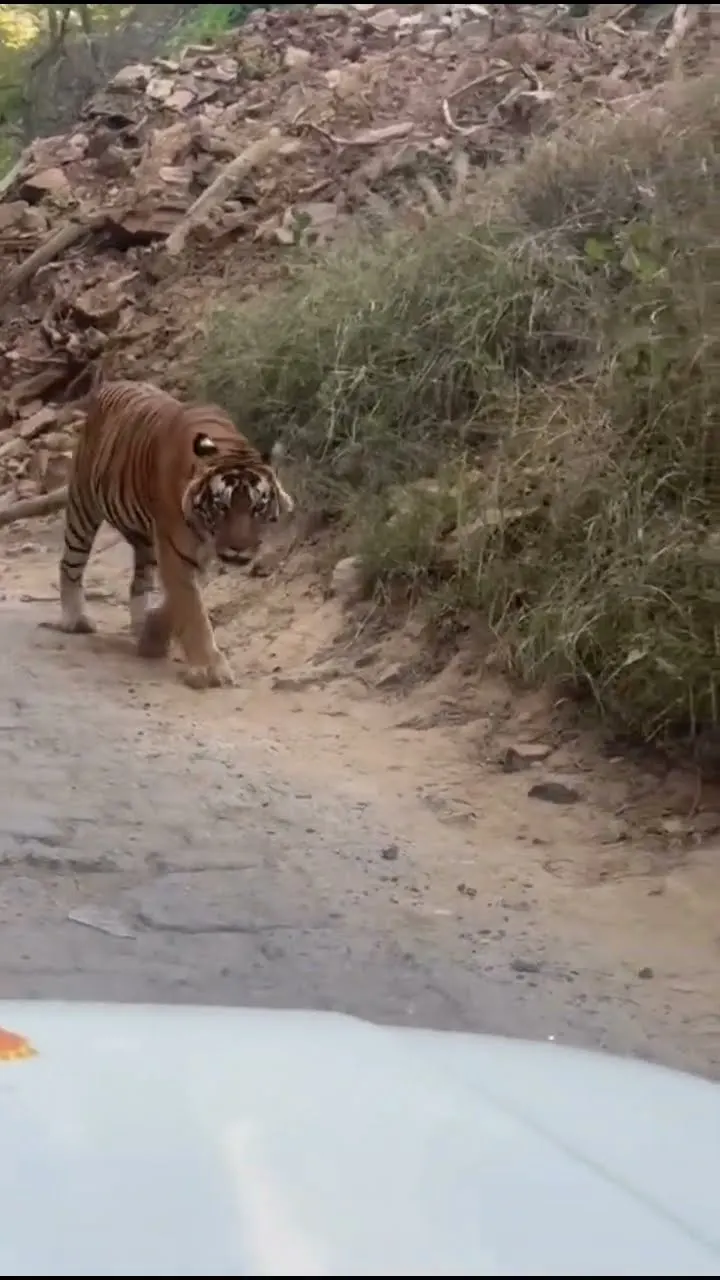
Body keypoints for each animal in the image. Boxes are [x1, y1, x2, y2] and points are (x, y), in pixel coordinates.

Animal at [52, 377, 294, 690]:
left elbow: (179, 601)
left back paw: (139, 625)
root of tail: (109, 385)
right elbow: (192, 610)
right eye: (222, 506)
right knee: (70, 564)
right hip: (84, 507)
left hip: (145, 542)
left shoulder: (190, 555)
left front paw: (153, 635)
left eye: (258, 507)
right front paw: (208, 669)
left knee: (139, 583)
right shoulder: (176, 550)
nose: (239, 549)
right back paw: (75, 619)